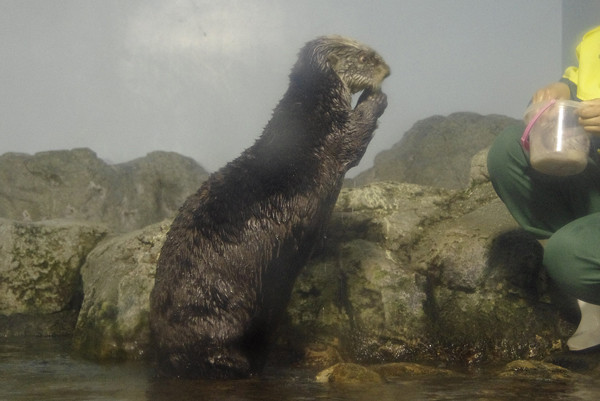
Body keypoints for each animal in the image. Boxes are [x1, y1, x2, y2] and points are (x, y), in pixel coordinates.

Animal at [150, 34, 390, 378]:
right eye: (364, 58)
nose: (387, 70)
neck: (310, 106)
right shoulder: (331, 132)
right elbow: (355, 136)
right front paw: (377, 97)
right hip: (220, 309)